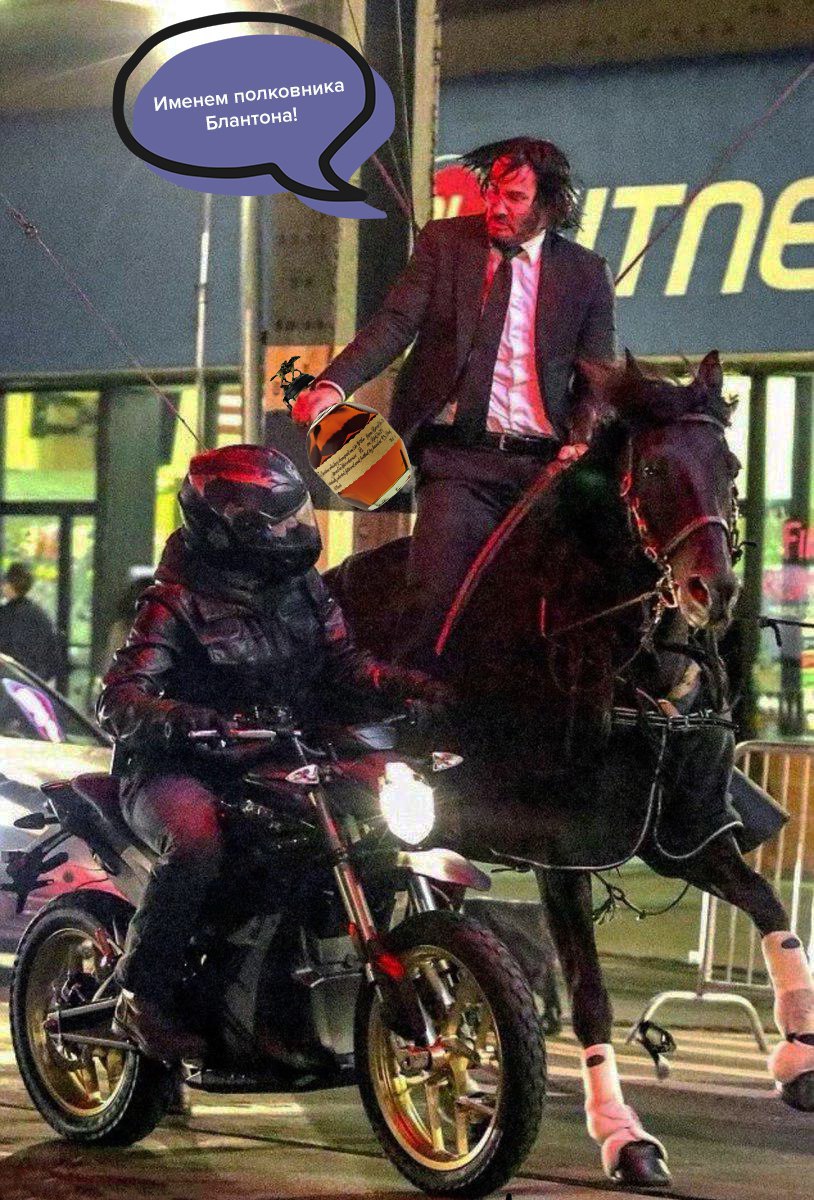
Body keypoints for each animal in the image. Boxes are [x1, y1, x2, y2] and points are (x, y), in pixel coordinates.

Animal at [326, 350, 814, 1188]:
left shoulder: (683, 831)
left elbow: (770, 907)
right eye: (652, 468)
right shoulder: (561, 846)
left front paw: (798, 1052)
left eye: (731, 466)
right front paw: (622, 1134)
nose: (712, 591)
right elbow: (590, 995)